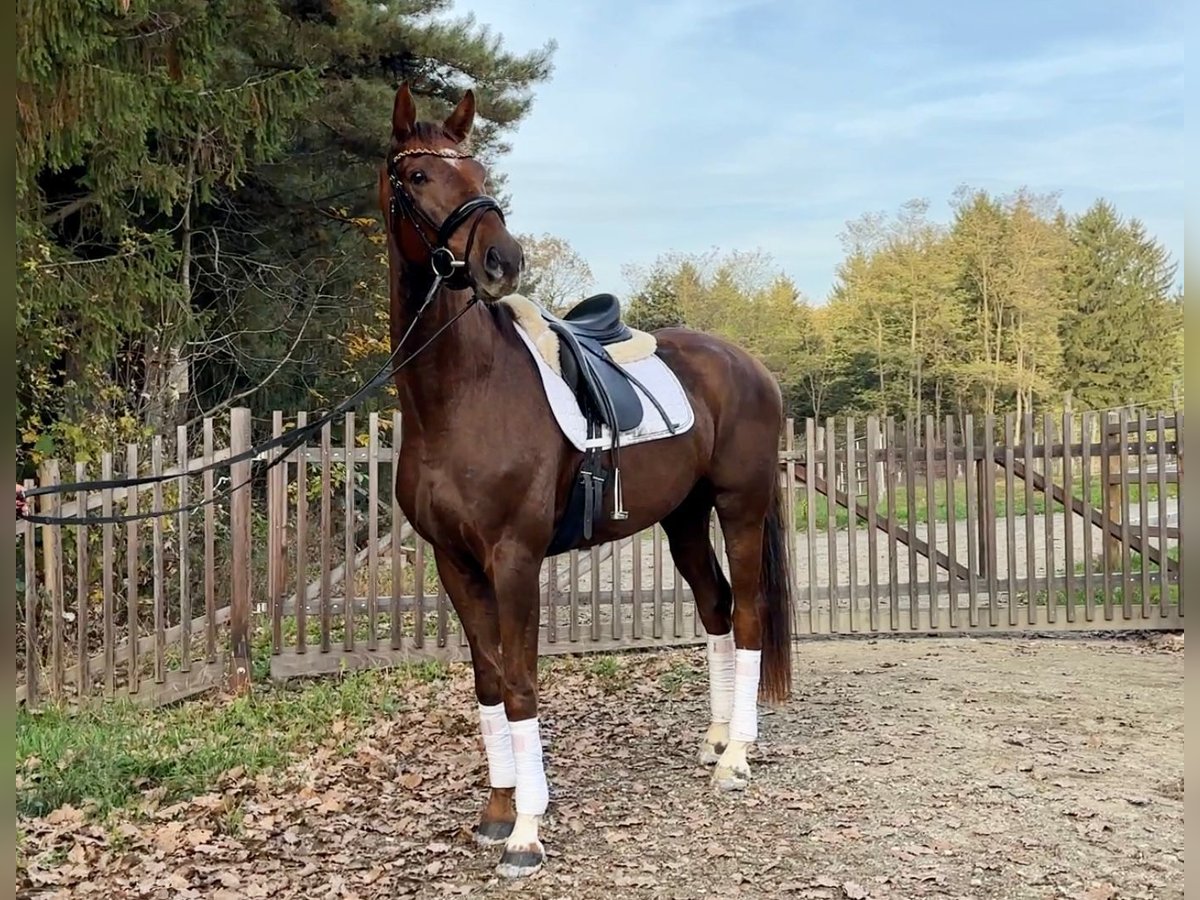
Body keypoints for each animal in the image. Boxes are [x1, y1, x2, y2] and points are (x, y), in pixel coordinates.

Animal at [384, 86, 792, 883]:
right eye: (417, 176)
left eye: (478, 170)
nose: (501, 259)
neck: (461, 392)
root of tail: (747, 364)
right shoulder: (454, 563)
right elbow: (487, 680)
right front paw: (498, 809)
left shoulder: (513, 561)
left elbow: (520, 684)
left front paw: (527, 831)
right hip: (684, 519)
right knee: (717, 609)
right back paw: (715, 738)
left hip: (740, 507)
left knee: (750, 614)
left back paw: (736, 756)